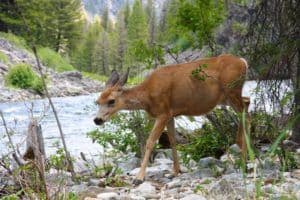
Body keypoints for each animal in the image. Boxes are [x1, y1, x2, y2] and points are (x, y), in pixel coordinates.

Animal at [94, 54, 251, 185]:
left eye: (111, 101)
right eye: (97, 101)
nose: (97, 120)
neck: (147, 97)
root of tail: (243, 61)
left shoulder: (163, 113)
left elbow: (150, 142)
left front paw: (139, 177)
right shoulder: (170, 115)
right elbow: (173, 141)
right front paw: (175, 171)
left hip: (232, 90)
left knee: (246, 114)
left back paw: (244, 160)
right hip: (227, 97)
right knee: (247, 102)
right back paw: (243, 149)